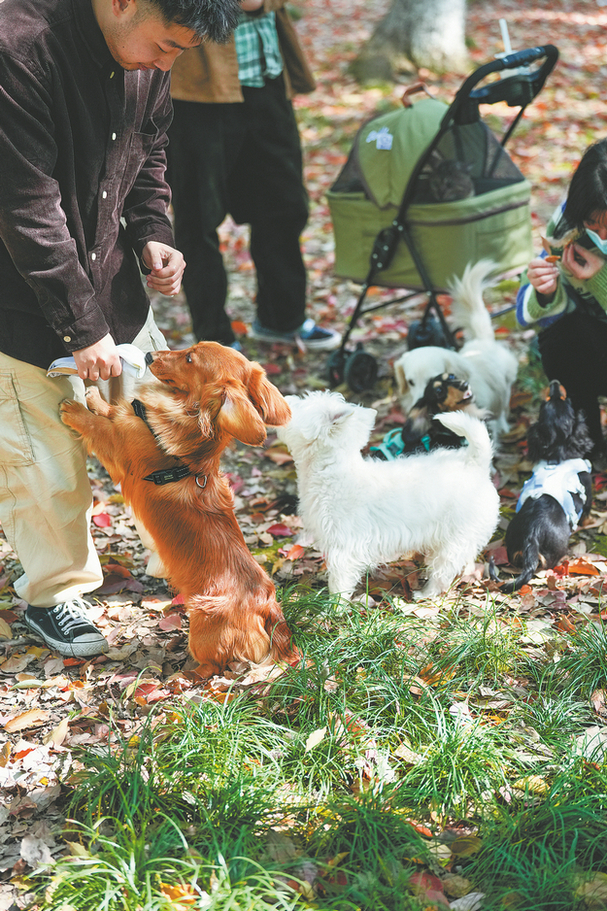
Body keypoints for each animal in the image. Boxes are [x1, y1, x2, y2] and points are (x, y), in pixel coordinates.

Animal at [60, 341, 298, 678]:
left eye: (189, 358)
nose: (149, 356)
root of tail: (268, 609)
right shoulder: (129, 422)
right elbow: (115, 411)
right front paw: (96, 398)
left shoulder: (119, 450)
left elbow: (100, 427)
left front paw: (76, 409)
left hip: (203, 625)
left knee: (216, 667)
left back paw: (184, 674)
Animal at [277, 391, 500, 601]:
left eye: (301, 405)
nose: (286, 397)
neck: (330, 470)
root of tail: (475, 464)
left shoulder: (345, 547)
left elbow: (339, 583)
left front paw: (334, 607)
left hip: (454, 539)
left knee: (443, 570)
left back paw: (426, 593)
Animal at [394, 260, 519, 440]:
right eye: (410, 382)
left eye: (432, 379)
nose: (419, 402)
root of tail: (481, 339)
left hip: (503, 388)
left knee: (502, 408)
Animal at [503, 380, 593, 593]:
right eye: (566, 400)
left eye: (546, 402)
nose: (555, 383)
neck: (557, 454)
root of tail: (532, 535)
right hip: (554, 551)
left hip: (513, 546)